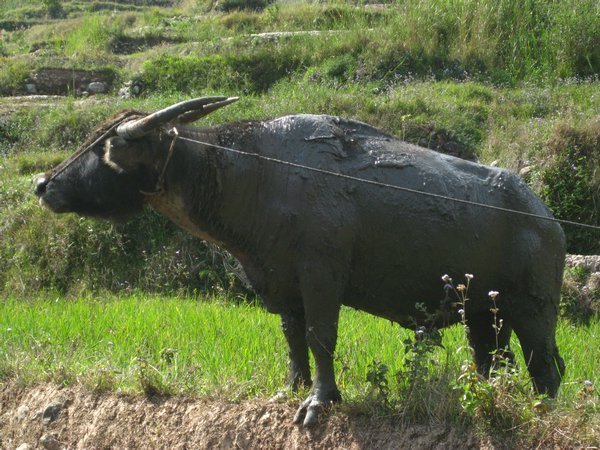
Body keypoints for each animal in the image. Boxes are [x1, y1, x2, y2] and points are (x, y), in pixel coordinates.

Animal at [35, 97, 564, 426]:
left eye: (102, 146)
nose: (43, 184)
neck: (259, 176)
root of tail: (546, 218)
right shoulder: (279, 284)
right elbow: (292, 340)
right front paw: (291, 389)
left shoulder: (321, 277)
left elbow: (319, 337)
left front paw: (319, 400)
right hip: (483, 315)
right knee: (493, 363)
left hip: (534, 309)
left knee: (546, 369)